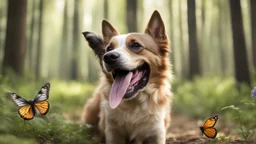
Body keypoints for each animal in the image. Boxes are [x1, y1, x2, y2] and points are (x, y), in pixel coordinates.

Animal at [81, 10, 172, 144]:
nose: (108, 57)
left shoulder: (156, 133)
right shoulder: (113, 132)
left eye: (136, 45)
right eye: (109, 48)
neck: (134, 104)